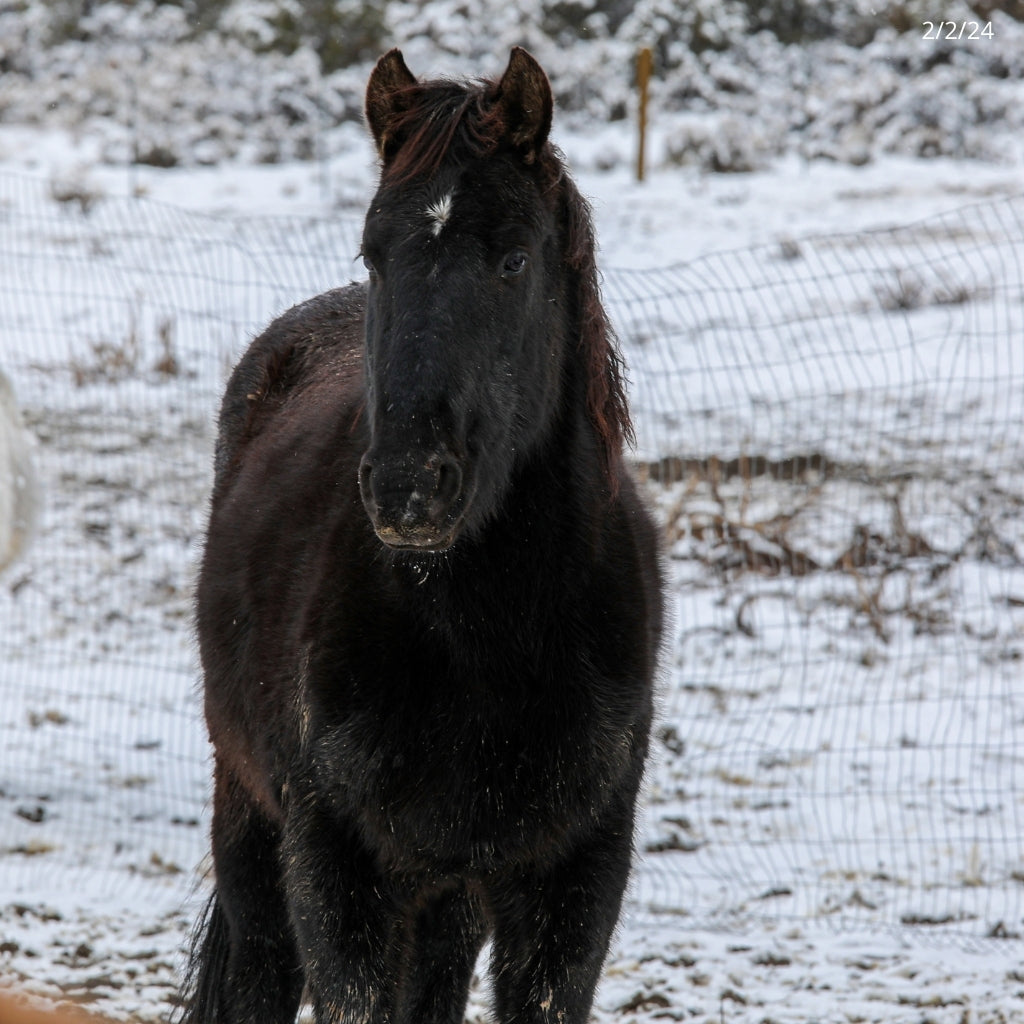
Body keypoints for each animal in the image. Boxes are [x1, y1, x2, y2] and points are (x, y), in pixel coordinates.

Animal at [182, 46, 663, 1024]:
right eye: (374, 254)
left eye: (514, 258)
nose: (409, 486)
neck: (493, 638)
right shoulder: (339, 872)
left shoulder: (573, 881)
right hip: (252, 832)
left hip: (448, 903)